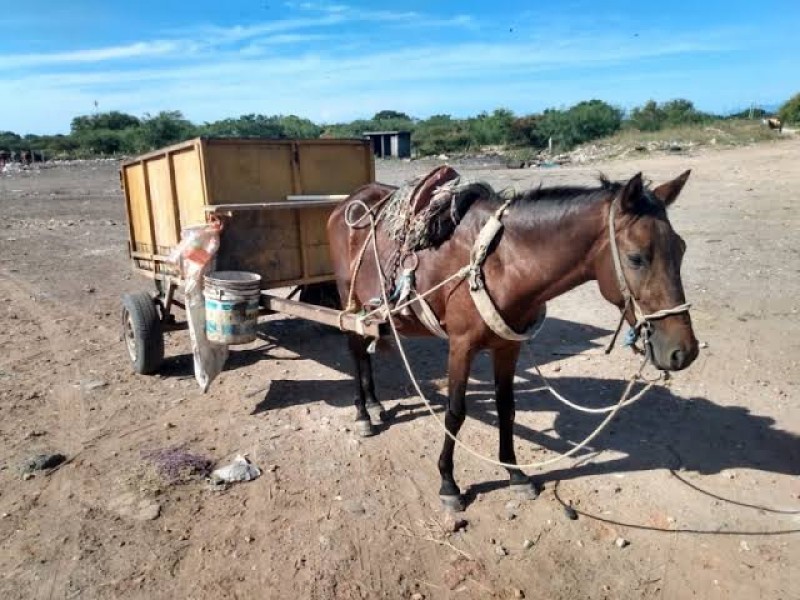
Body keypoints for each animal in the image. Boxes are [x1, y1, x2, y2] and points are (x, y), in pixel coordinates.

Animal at [328, 170, 696, 510]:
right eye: (636, 257)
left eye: (681, 250)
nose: (684, 352)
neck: (500, 263)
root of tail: (350, 201)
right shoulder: (460, 346)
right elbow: (454, 413)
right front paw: (448, 483)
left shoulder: (508, 346)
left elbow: (507, 409)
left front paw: (515, 473)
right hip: (350, 299)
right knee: (355, 349)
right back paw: (362, 414)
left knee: (366, 349)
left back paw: (375, 403)